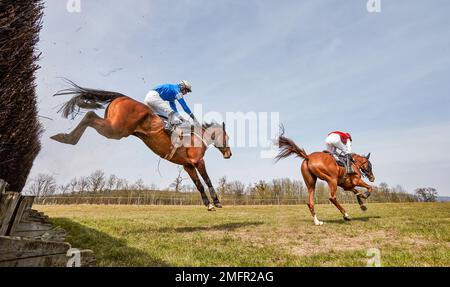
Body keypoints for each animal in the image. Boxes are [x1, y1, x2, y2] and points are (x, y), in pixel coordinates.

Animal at [50, 81, 232, 212]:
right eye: (227, 137)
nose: (229, 154)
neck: (199, 136)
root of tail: (123, 97)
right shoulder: (198, 161)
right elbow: (207, 180)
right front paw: (217, 202)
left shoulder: (187, 165)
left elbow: (199, 185)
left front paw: (208, 204)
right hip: (116, 129)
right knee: (89, 115)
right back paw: (67, 138)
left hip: (114, 127)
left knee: (90, 116)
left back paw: (64, 137)